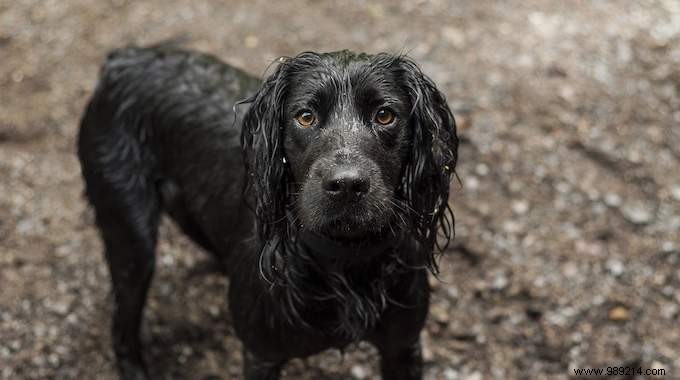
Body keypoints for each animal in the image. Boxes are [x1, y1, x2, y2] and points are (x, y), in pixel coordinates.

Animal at [77, 42, 460, 380]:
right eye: (305, 117)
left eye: (385, 115)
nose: (347, 185)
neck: (344, 262)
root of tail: (125, 58)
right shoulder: (262, 354)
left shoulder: (403, 346)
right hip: (131, 236)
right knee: (122, 330)